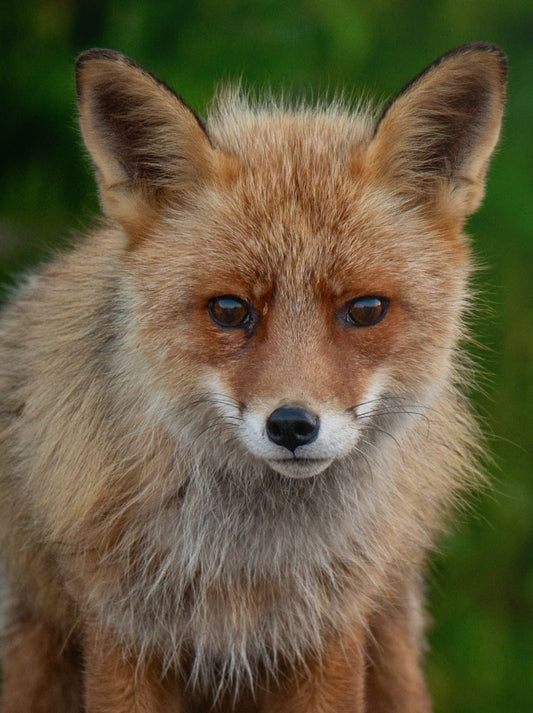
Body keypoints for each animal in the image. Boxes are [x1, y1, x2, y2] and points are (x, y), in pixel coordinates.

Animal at [0, 43, 506, 712]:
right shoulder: (121, 633)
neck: (247, 566)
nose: (292, 425)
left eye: (365, 309)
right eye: (229, 309)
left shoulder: (328, 636)